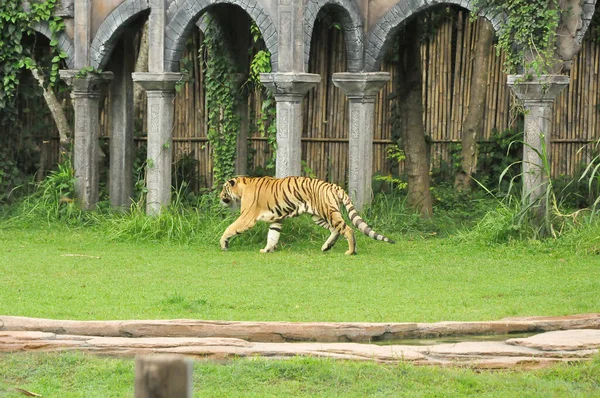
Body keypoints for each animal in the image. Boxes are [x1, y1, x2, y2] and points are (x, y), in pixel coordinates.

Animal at [219, 176, 394, 255]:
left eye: (224, 188)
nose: (220, 196)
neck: (242, 187)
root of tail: (333, 185)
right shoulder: (277, 220)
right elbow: (272, 236)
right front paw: (267, 249)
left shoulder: (246, 217)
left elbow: (229, 229)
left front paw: (223, 244)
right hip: (319, 216)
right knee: (336, 230)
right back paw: (326, 247)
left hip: (328, 212)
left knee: (348, 229)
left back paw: (350, 251)